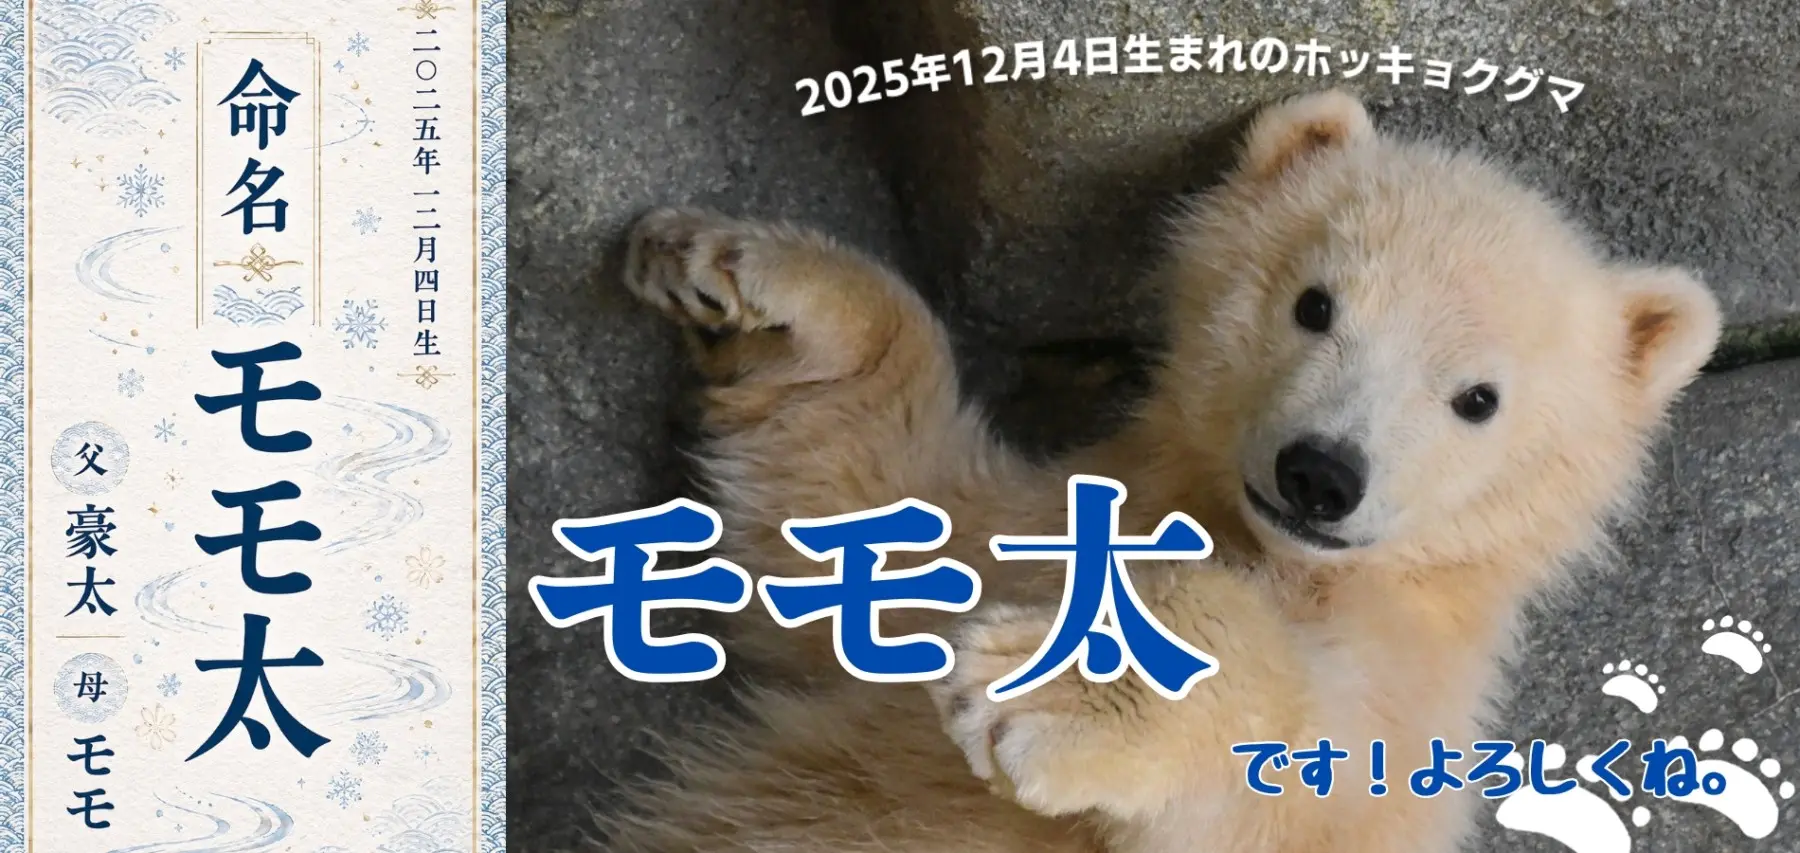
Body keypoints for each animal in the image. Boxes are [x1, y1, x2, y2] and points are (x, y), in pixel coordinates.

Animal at [584, 89, 1722, 853]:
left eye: (1478, 398)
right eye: (1315, 302)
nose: (1321, 473)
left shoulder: (1401, 716)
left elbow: (1290, 779)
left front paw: (1057, 688)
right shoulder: (1049, 515)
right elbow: (864, 514)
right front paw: (733, 275)